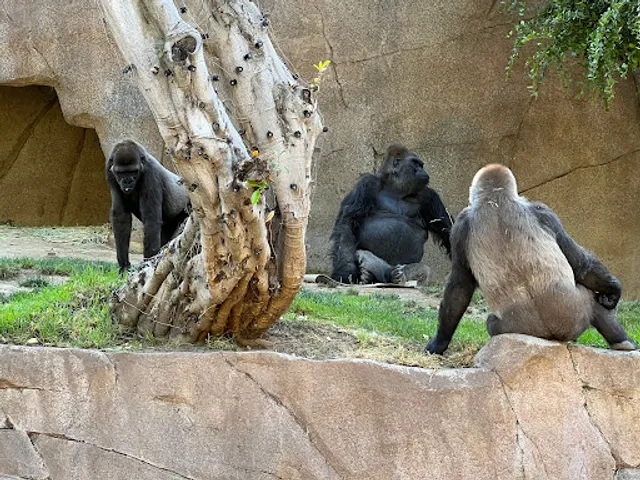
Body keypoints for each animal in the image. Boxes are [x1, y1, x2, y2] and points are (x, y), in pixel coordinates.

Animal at [106, 140, 190, 273]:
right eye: (121, 173)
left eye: (132, 171)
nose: (127, 181)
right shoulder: (109, 169)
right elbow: (121, 216)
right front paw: (124, 266)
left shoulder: (151, 173)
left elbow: (151, 219)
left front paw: (147, 264)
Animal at [330, 143, 453, 285]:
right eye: (415, 163)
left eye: (421, 165)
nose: (424, 171)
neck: (396, 189)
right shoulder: (368, 183)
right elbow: (347, 224)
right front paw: (346, 271)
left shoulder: (429, 196)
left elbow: (447, 229)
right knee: (363, 254)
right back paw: (372, 275)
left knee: (422, 269)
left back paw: (393, 275)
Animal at [426, 163, 637, 355]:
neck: (496, 198)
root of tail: (549, 334)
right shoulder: (543, 211)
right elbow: (581, 265)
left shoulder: (460, 228)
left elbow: (459, 288)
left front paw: (438, 343)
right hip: (566, 315)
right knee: (593, 301)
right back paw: (623, 342)